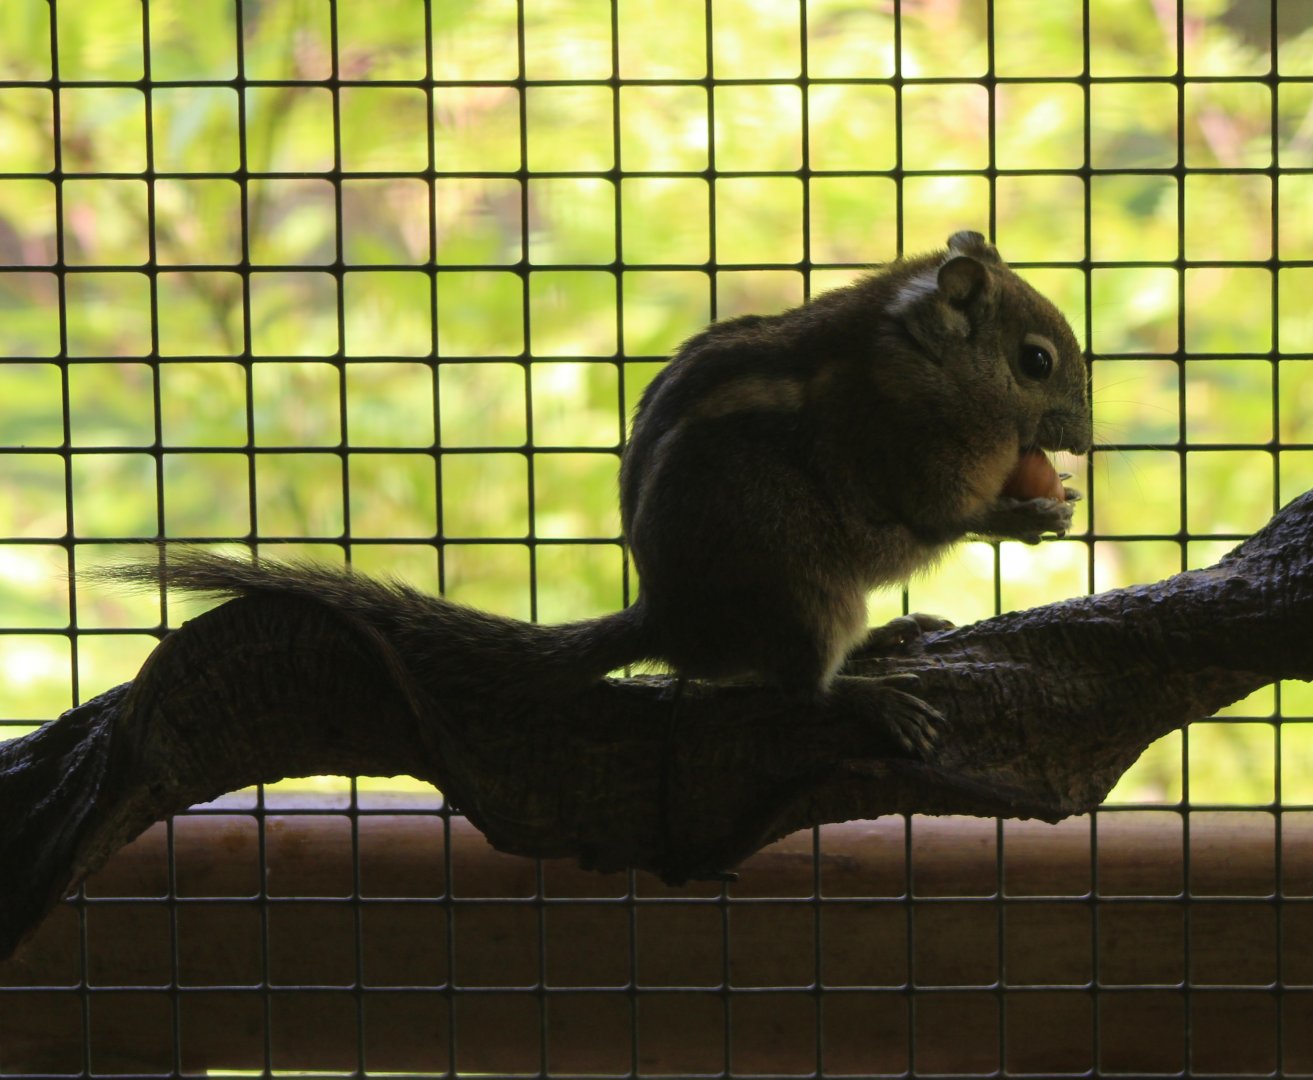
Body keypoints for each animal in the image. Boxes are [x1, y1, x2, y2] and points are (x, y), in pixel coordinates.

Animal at [106, 231, 1090, 757]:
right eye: (1036, 361)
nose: (1081, 440)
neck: (914, 350)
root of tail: (667, 618)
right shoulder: (900, 443)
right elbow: (941, 513)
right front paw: (1026, 512)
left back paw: (887, 639)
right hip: (806, 590)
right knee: (797, 688)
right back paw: (867, 692)